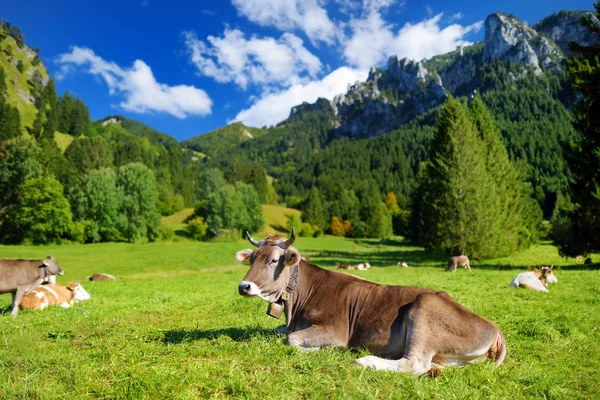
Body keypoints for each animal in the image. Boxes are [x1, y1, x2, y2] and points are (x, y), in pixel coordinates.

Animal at [236, 228, 506, 376]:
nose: (243, 286)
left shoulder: (337, 331)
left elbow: (290, 339)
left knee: (414, 363)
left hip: (425, 308)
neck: (297, 306)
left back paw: (365, 361)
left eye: (274, 260)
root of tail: (494, 328)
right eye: (252, 259)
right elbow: (280, 331)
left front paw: (318, 350)